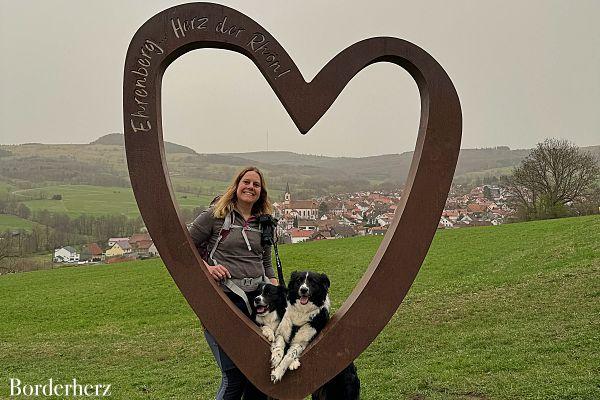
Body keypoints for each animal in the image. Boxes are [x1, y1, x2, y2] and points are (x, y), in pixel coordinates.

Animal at [272, 270, 360, 398]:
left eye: (313, 282)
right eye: (299, 280)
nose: (303, 290)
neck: (302, 313)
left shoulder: (304, 341)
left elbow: (290, 355)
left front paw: (278, 373)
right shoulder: (282, 334)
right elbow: (279, 346)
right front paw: (275, 359)